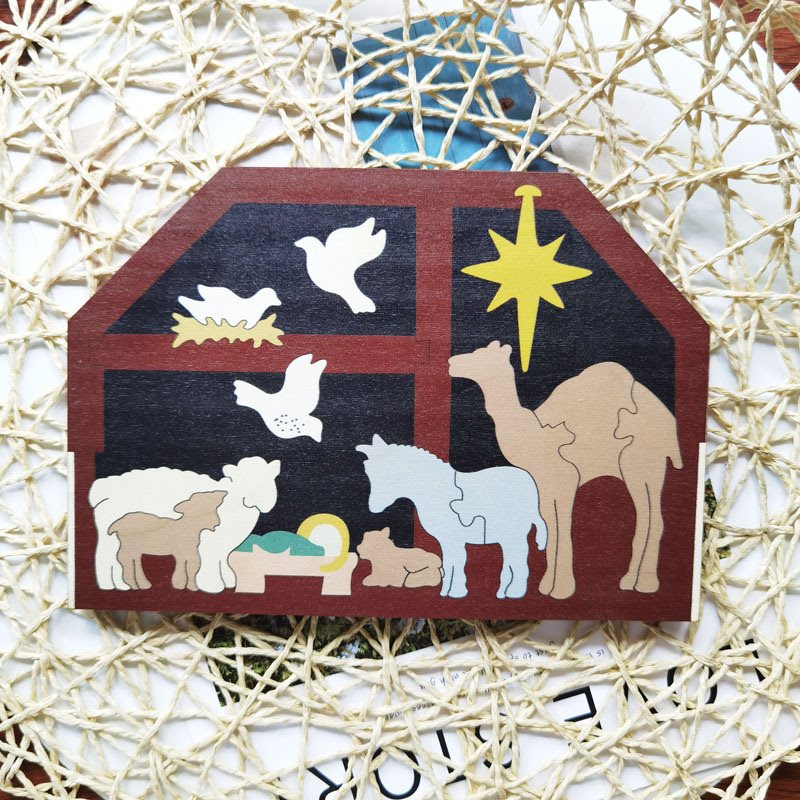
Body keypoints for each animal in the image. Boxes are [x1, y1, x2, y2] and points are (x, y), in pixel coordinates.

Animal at [89, 456, 281, 593]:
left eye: (270, 479)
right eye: (239, 479)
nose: (258, 500)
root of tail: (103, 488)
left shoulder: (221, 549)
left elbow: (223, 563)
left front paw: (229, 582)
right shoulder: (206, 546)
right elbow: (209, 565)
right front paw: (212, 586)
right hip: (111, 538)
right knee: (105, 558)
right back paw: (111, 585)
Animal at [448, 341, 682, 599]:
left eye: (480, 355)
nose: (452, 363)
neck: (532, 433)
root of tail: (669, 421)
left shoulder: (565, 477)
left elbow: (564, 528)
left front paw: (561, 589)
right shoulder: (544, 484)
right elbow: (551, 528)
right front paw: (546, 587)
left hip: (641, 462)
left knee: (652, 517)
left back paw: (645, 584)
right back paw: (630, 581)